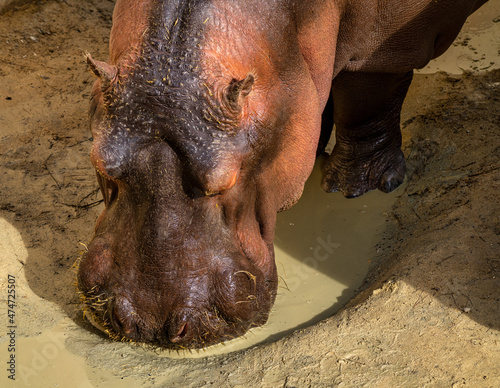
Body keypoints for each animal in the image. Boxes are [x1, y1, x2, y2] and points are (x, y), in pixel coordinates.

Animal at [78, 0, 488, 348]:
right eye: (98, 162)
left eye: (226, 183)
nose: (151, 324)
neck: (289, 26)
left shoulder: (382, 50)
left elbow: (367, 100)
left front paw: (354, 188)